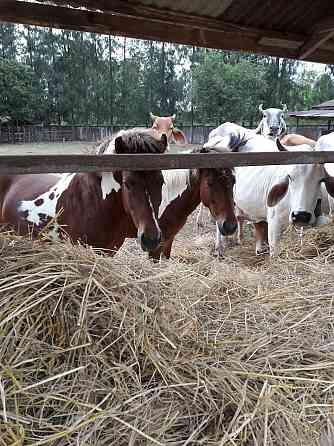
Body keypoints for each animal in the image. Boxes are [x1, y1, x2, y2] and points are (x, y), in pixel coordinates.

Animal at [206, 122, 334, 256]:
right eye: (289, 176)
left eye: (321, 180)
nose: (300, 215)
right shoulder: (274, 223)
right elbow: (274, 251)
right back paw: (219, 247)